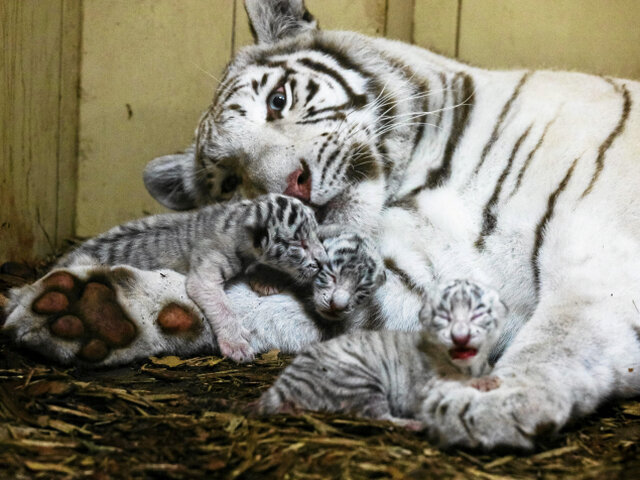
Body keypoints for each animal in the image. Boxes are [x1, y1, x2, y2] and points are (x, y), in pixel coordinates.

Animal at [3, 0, 640, 450]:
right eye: (229, 180)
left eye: (279, 100)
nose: (294, 184)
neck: (420, 180)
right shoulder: (421, 279)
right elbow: (268, 306)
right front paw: (90, 309)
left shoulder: (597, 252)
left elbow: (562, 333)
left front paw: (490, 401)